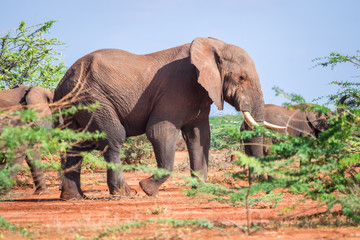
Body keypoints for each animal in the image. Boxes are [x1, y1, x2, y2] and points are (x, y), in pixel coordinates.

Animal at [54, 36, 284, 200]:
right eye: (241, 78)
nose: (262, 189)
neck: (213, 45)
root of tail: (63, 79)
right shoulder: (176, 89)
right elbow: (160, 132)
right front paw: (148, 190)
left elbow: (199, 137)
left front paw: (201, 190)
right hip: (92, 99)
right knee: (114, 137)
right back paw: (126, 194)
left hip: (75, 102)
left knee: (76, 144)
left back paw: (74, 198)